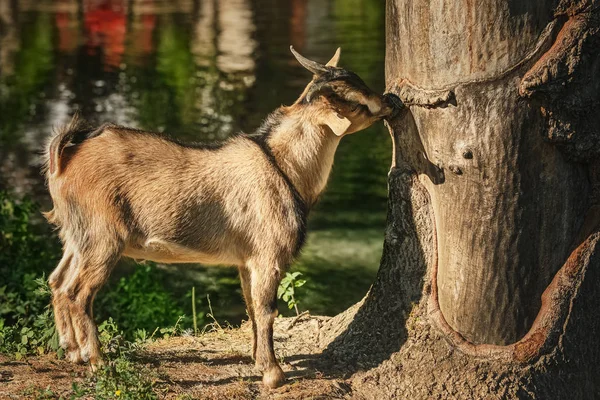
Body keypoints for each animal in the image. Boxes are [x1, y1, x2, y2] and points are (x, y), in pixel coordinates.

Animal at [42, 46, 398, 388]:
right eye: (356, 102)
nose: (389, 102)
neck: (285, 166)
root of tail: (66, 157)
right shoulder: (269, 256)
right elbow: (267, 310)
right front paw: (274, 374)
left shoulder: (247, 260)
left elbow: (251, 306)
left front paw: (258, 361)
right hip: (103, 236)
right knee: (78, 293)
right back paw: (97, 361)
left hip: (77, 236)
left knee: (57, 281)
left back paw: (72, 350)